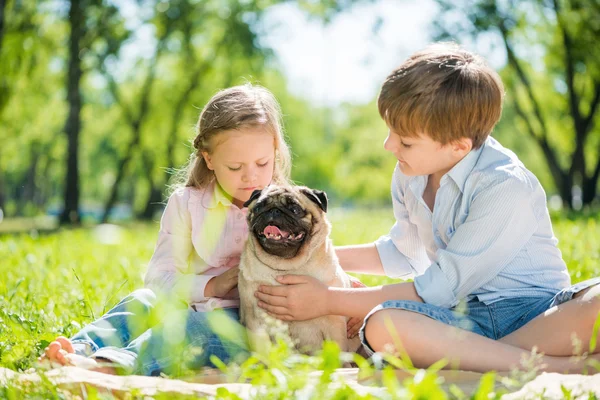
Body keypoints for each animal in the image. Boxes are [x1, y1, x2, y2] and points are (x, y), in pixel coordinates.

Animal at [238, 184, 360, 354]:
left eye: (295, 209)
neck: (286, 266)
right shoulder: (256, 322)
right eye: (258, 208)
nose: (273, 210)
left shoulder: (334, 324)